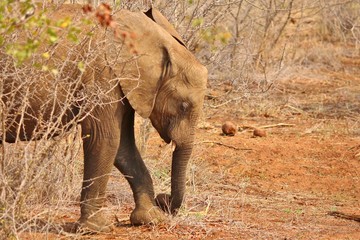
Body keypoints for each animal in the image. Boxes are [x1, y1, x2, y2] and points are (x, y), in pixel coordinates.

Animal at [0, 4, 207, 232]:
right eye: (184, 106)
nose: (164, 200)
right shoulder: (103, 75)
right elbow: (105, 139)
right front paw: (96, 228)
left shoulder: (122, 83)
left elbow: (123, 147)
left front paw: (150, 219)